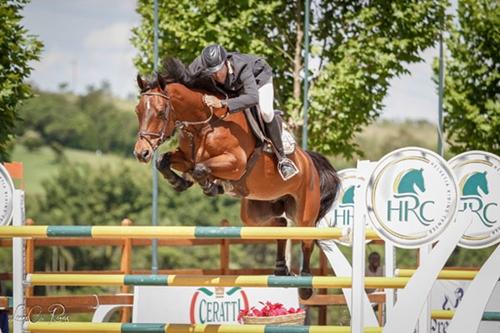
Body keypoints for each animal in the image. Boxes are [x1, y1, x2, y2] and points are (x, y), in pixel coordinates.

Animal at [133, 57, 340, 298]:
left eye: (159, 112)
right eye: (138, 111)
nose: (141, 153)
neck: (205, 124)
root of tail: (309, 161)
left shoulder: (236, 163)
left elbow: (200, 169)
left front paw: (210, 186)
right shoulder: (186, 157)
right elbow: (165, 161)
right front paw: (180, 181)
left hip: (304, 210)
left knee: (307, 239)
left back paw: (306, 285)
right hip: (255, 212)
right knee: (279, 224)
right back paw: (281, 269)